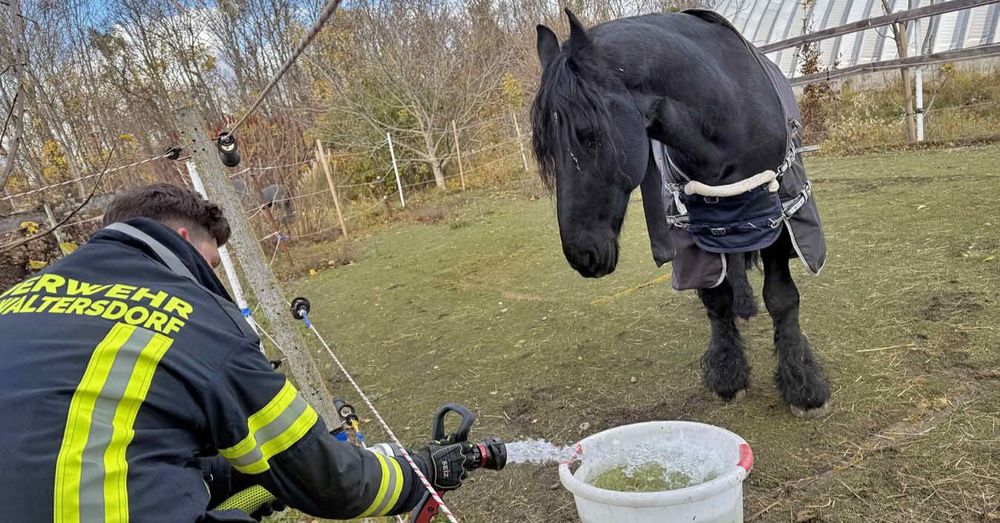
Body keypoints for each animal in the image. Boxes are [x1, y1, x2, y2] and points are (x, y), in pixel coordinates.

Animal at [530, 9, 830, 418]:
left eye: (588, 134)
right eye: (545, 148)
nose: (582, 255)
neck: (730, 114)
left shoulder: (778, 218)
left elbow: (782, 299)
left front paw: (803, 387)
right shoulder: (695, 229)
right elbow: (715, 299)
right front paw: (728, 375)